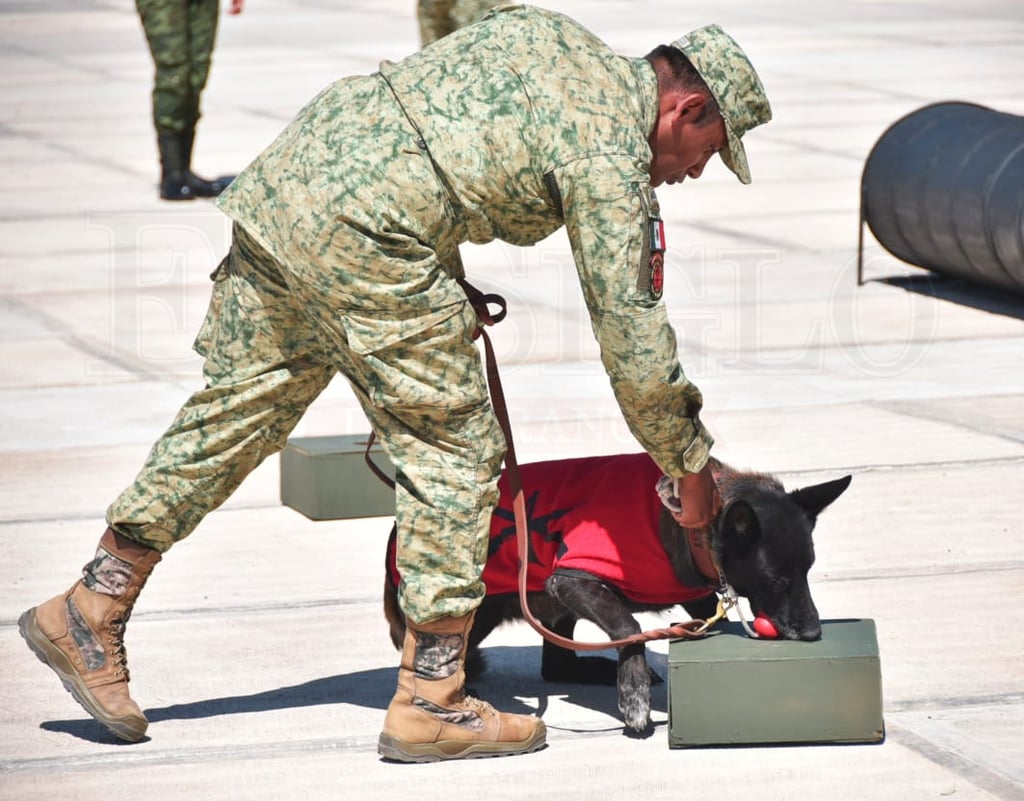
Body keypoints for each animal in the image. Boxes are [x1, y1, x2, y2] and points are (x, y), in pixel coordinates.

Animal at [385, 450, 847, 733]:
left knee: (557, 665)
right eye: (777, 579)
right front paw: (634, 693)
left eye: (808, 570)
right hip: (483, 606)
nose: (812, 633)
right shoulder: (572, 579)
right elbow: (630, 628)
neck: (693, 527)